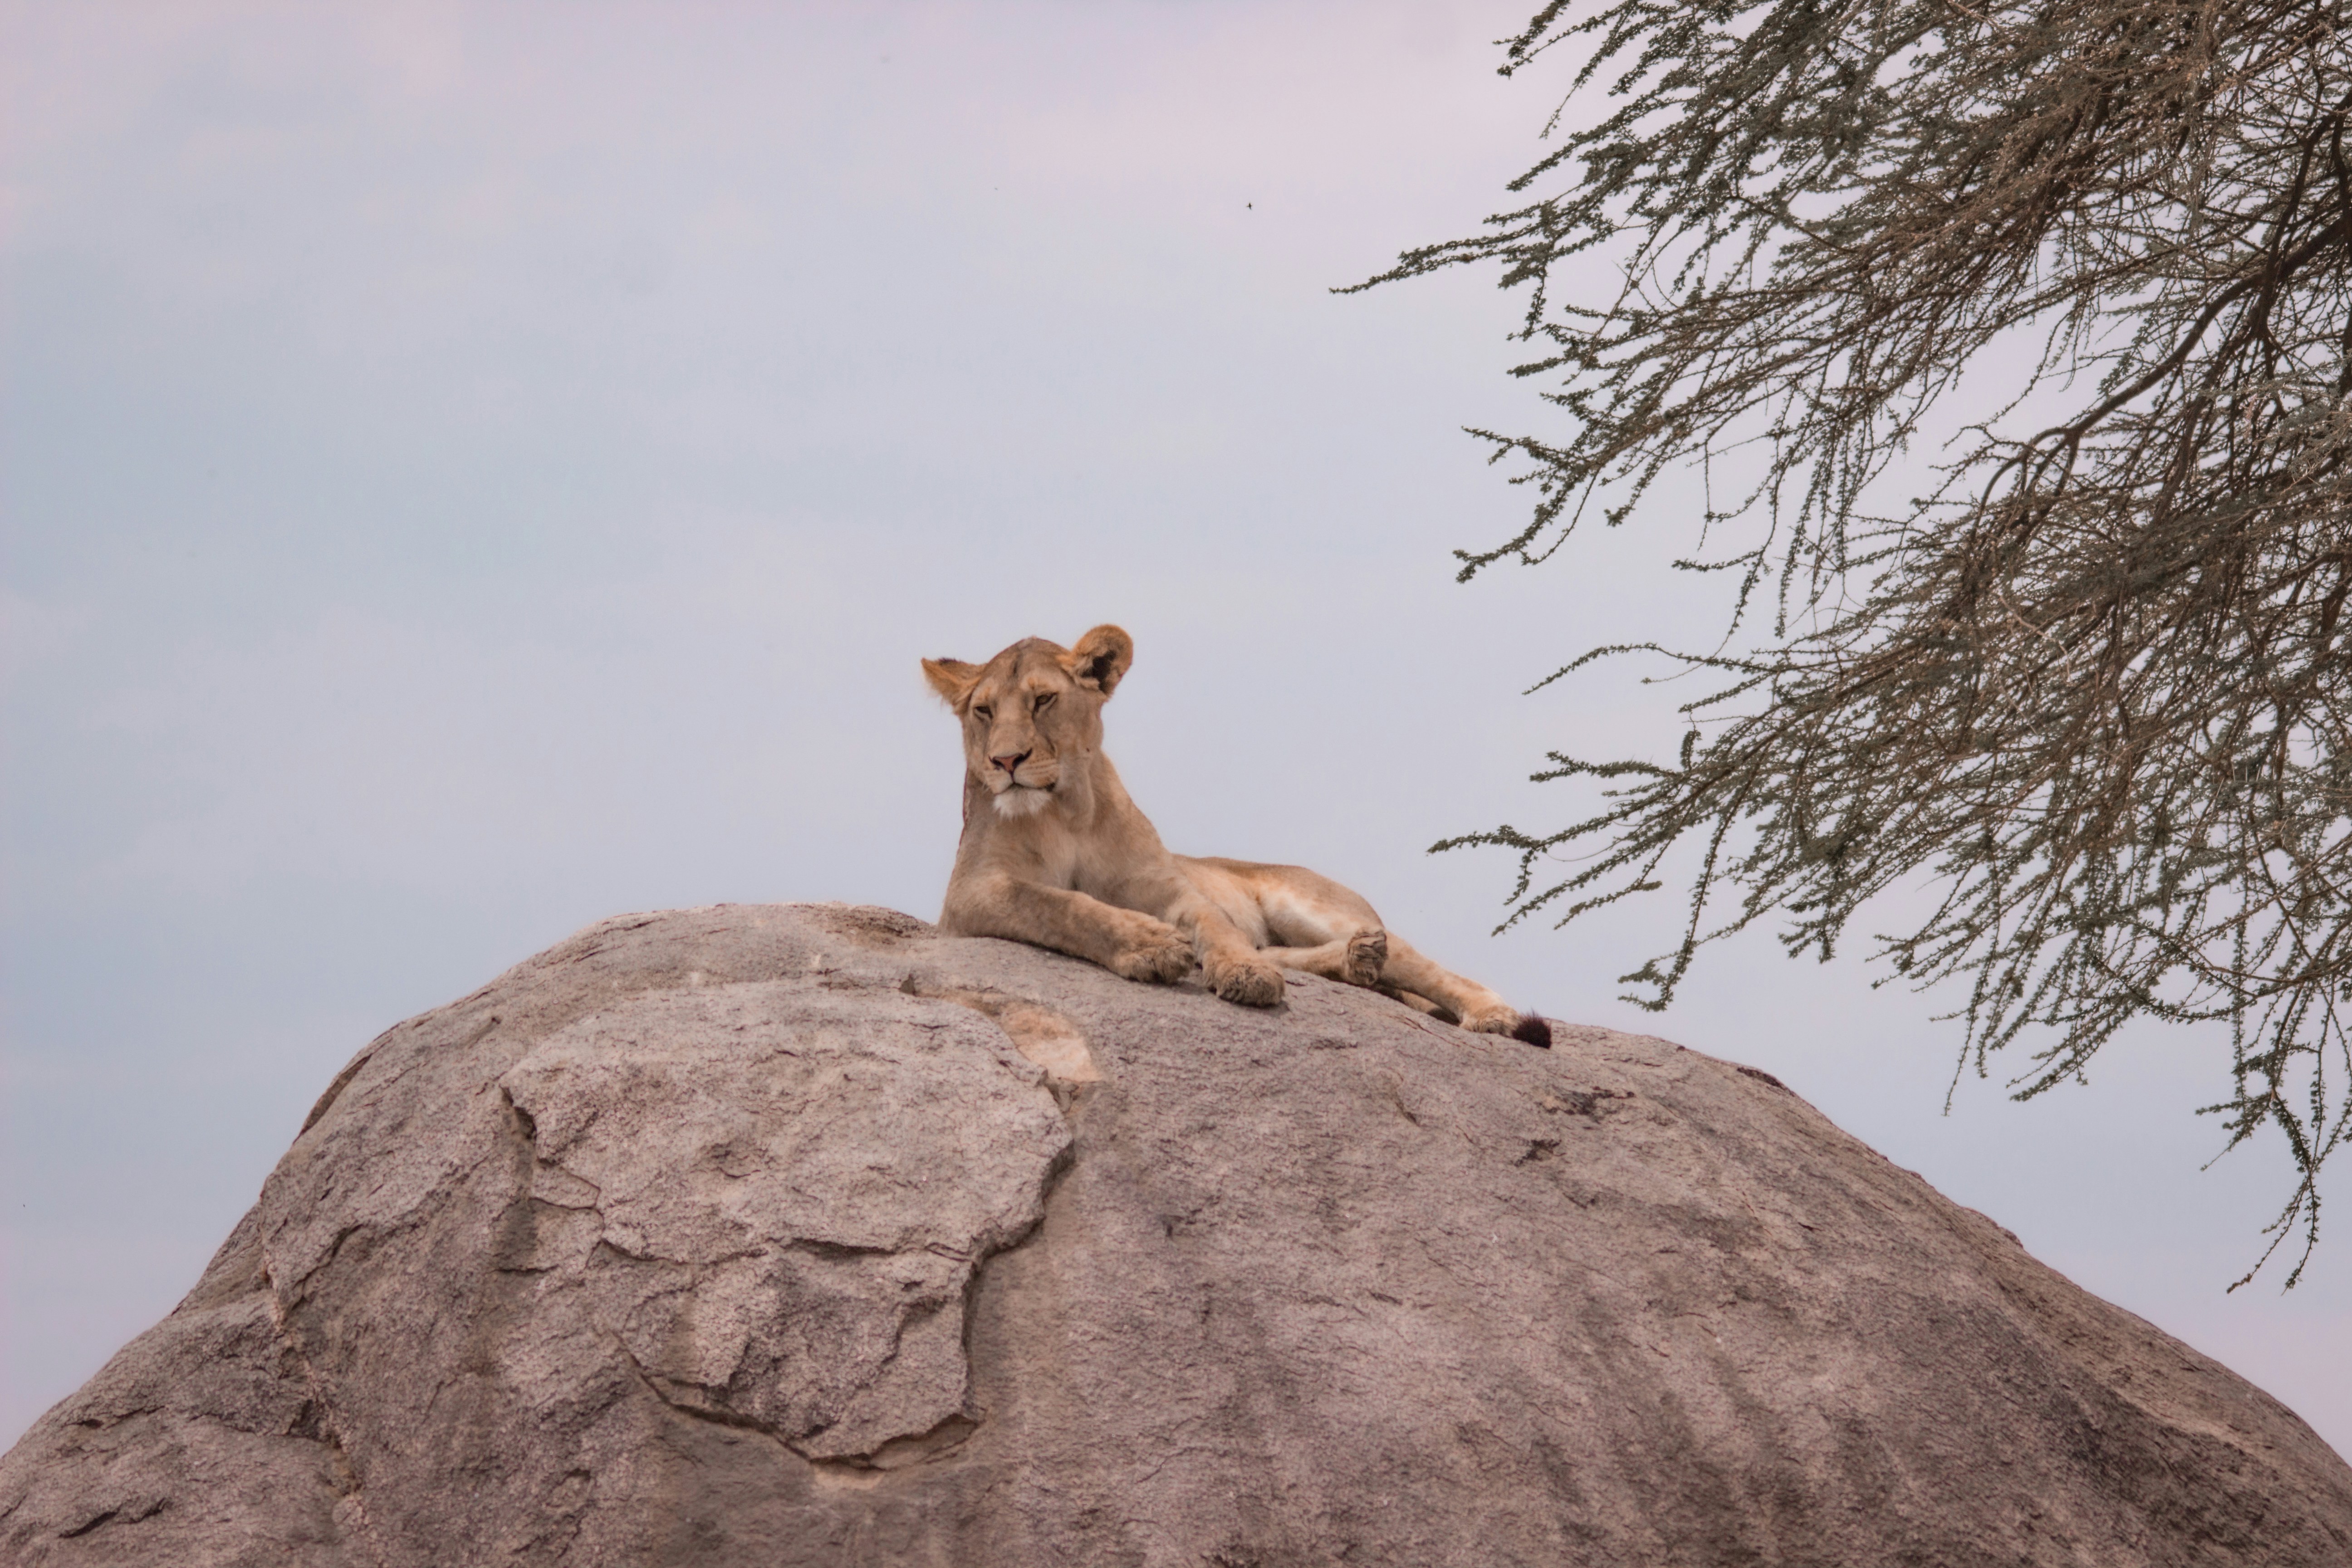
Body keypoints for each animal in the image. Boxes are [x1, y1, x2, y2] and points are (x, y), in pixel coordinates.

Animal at [922, 624, 1551, 1047]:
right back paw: (1359, 960)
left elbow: (1212, 923)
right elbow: (1058, 904)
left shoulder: (1167, 887)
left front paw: (1241, 973)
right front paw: (1152, 946)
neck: (1067, 812)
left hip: (1311, 904)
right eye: (983, 712)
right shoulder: (971, 895)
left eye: (1044, 699)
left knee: (1422, 964)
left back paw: (1487, 1012)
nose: (1006, 761)